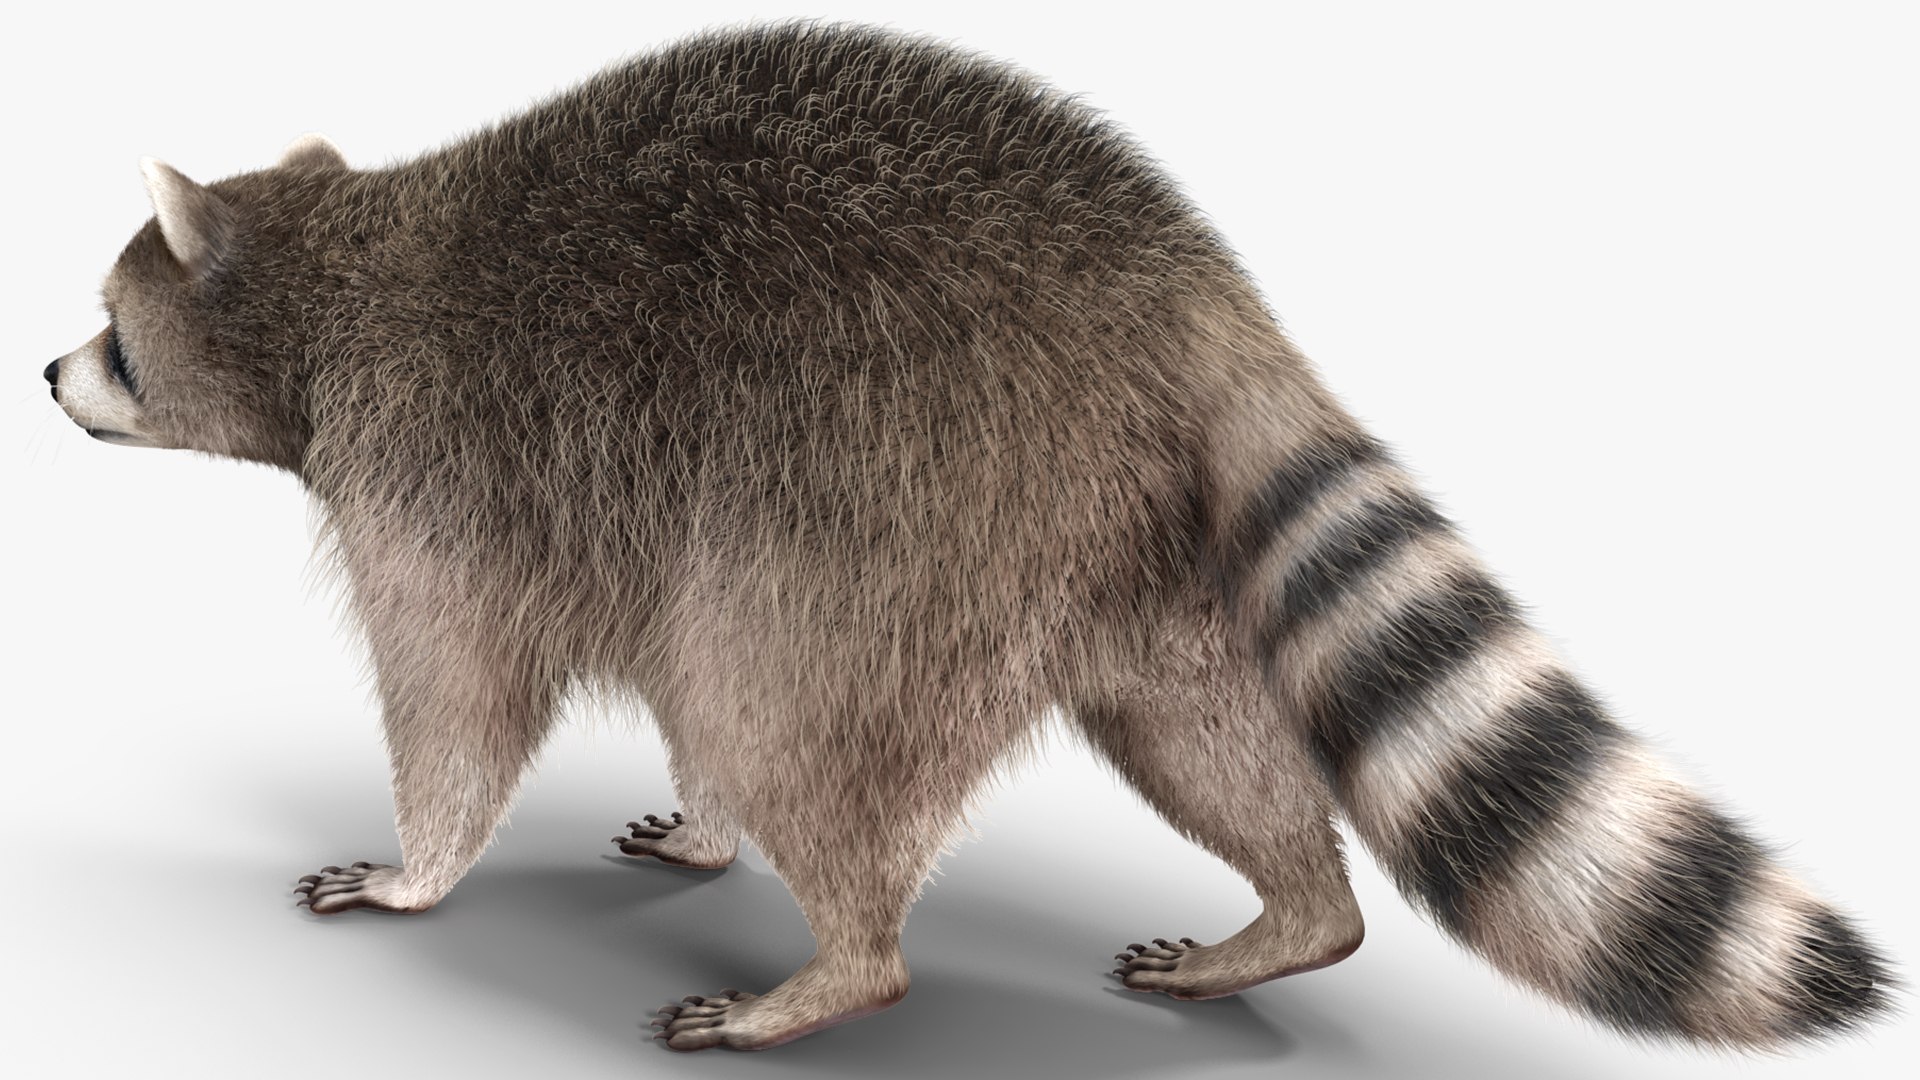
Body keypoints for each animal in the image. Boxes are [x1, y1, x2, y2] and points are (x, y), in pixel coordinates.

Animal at [45, 21, 1889, 1053]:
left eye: (113, 329)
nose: (47, 374)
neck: (341, 270)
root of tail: (1180, 282)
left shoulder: (432, 466)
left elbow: (462, 695)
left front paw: (420, 866)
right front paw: (703, 827)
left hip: (906, 488)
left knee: (771, 689)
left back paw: (843, 968)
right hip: (1111, 528)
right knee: (1192, 727)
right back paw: (1299, 909)